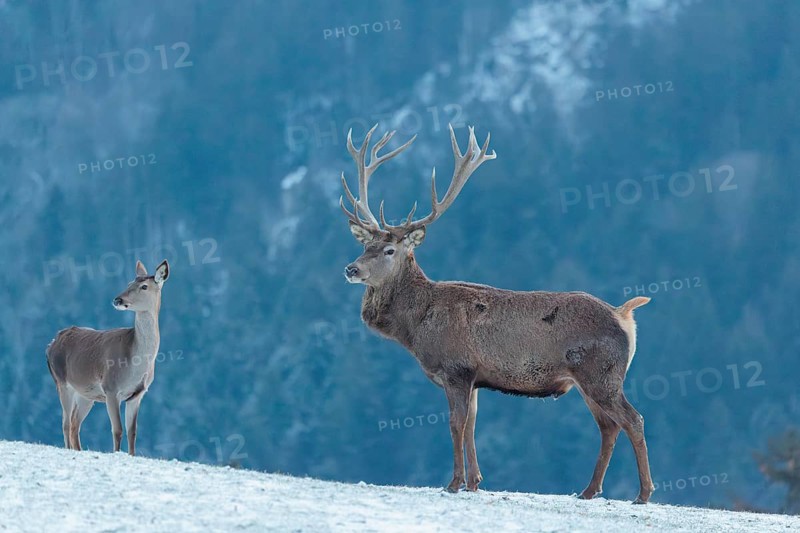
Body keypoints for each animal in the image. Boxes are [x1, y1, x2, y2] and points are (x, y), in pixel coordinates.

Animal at [46, 259, 169, 456]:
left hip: (86, 394)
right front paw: (116, 453)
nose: (118, 300)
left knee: (74, 424)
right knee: (65, 423)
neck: (135, 363)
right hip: (61, 382)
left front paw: (131, 455)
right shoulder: (111, 388)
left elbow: (132, 431)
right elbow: (117, 429)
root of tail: (51, 344)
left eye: (144, 286)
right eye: (129, 283)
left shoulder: (137, 394)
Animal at [340, 124, 655, 503]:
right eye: (363, 245)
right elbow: (472, 425)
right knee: (609, 426)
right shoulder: (474, 377)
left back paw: (643, 492)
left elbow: (456, 424)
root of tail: (625, 316)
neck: (416, 327)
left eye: (389, 249)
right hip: (588, 379)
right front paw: (475, 481)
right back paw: (589, 490)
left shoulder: (456, 367)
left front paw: (454, 483)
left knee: (633, 420)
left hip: (601, 373)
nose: (351, 269)